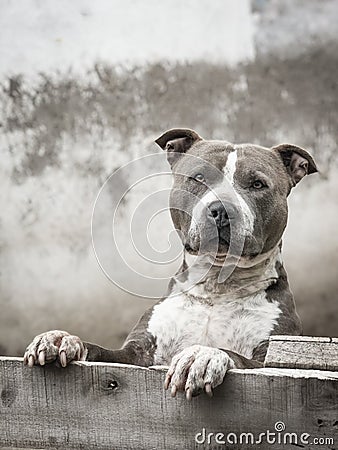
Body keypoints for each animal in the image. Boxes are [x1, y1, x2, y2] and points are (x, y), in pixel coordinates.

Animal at [23, 129, 316, 400]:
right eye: (199, 178)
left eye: (257, 184)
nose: (222, 209)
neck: (217, 288)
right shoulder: (137, 354)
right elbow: (102, 352)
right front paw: (64, 340)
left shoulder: (272, 356)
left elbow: (240, 358)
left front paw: (203, 355)